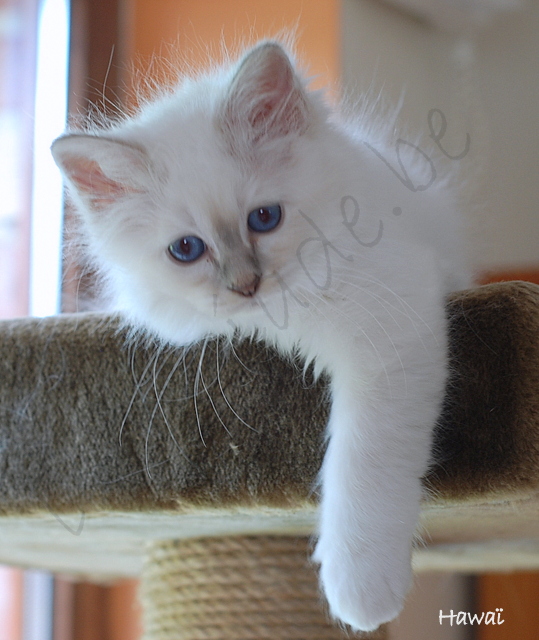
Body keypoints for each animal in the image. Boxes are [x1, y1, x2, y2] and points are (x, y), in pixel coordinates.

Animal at [52, 41, 470, 632]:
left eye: (265, 218)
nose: (246, 286)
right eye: (186, 249)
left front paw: (360, 593)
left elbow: (362, 465)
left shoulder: (392, 322)